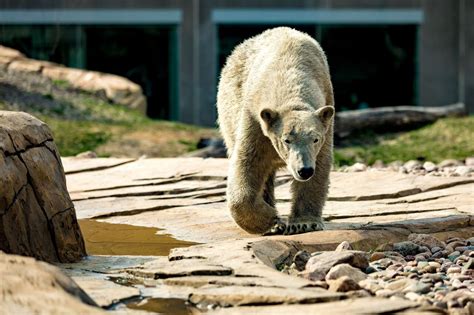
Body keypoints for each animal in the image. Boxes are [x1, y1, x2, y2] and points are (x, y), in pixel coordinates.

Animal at [218, 26, 334, 235]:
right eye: (286, 139)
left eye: (315, 139)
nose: (304, 170)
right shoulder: (254, 117)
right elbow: (248, 161)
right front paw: (271, 219)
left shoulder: (326, 112)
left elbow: (321, 164)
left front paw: (304, 223)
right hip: (229, 109)